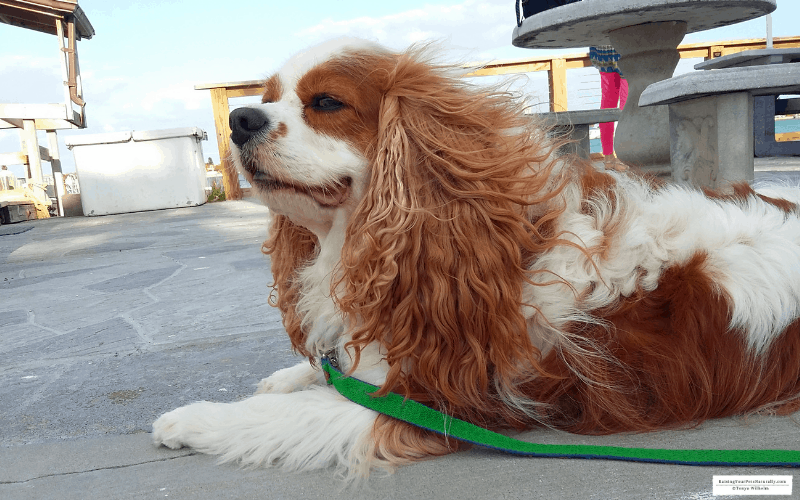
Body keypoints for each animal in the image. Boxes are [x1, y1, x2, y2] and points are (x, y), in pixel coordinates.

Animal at [153, 38, 800, 476]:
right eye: (266, 100)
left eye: (327, 102)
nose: (240, 118)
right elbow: (326, 368)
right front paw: (292, 372)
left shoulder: (436, 400)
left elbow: (285, 417)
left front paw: (192, 418)